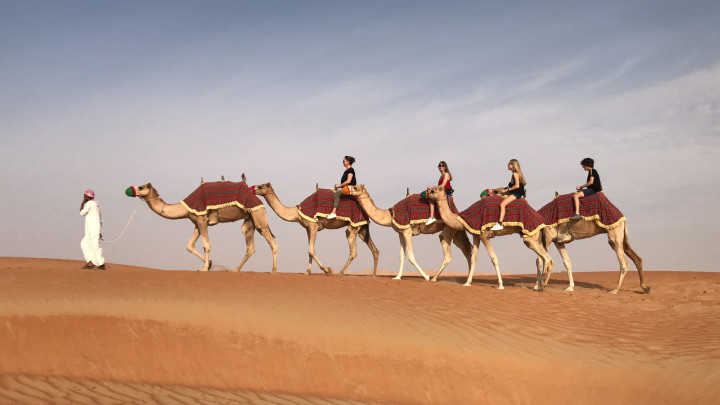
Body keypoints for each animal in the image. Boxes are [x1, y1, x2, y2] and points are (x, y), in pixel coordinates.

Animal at [126, 181, 278, 272]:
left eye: (141, 187)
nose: (129, 189)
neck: (184, 207)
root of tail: (258, 200)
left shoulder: (202, 220)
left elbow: (206, 245)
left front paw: (204, 268)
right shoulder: (196, 223)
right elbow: (189, 246)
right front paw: (209, 263)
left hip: (258, 215)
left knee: (272, 241)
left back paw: (273, 271)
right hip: (250, 219)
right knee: (250, 246)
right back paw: (236, 270)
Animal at [426, 186, 554, 290]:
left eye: (439, 188)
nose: (429, 191)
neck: (463, 219)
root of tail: (540, 218)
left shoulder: (484, 234)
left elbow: (493, 258)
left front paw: (500, 285)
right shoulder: (476, 235)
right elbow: (474, 258)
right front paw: (467, 282)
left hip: (530, 235)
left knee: (546, 258)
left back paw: (542, 285)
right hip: (534, 236)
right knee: (546, 259)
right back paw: (541, 285)